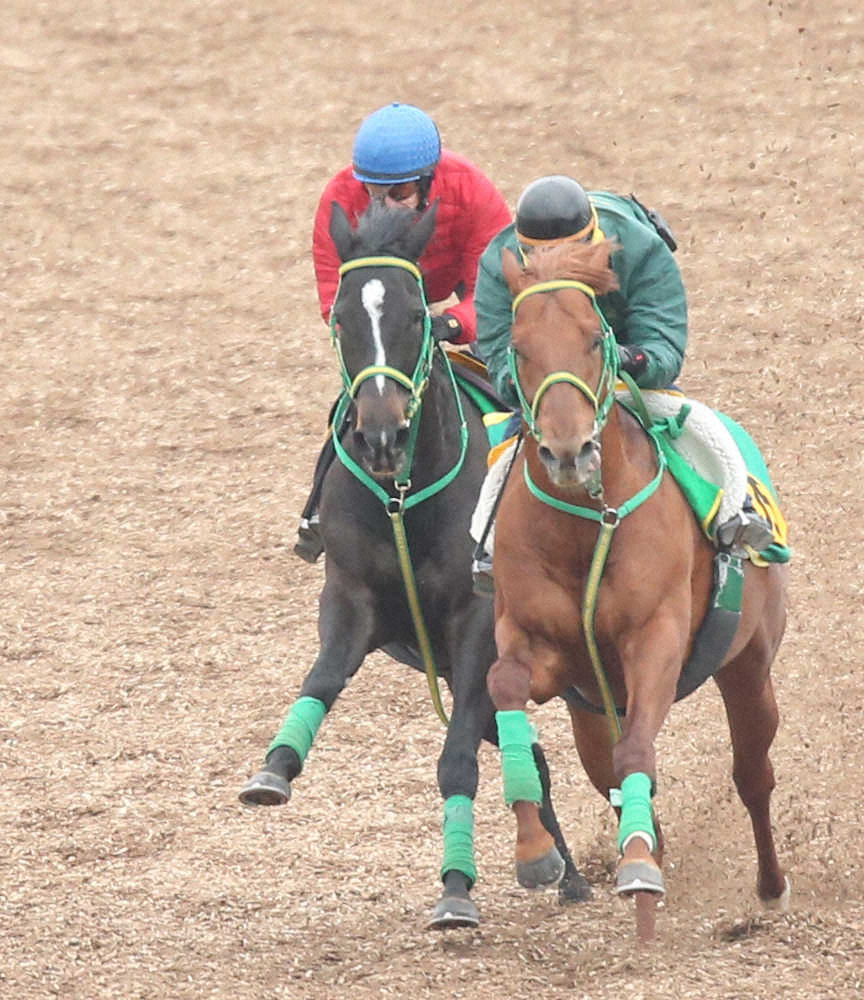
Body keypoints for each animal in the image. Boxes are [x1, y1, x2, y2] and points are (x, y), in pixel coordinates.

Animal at [240, 201, 592, 928]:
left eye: (413, 314)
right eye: (342, 318)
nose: (382, 434)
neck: (403, 495)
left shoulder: (475, 624)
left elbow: (456, 761)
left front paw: (456, 888)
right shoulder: (352, 600)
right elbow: (322, 678)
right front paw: (275, 767)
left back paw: (551, 862)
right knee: (530, 751)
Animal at [486, 238, 788, 940]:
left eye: (595, 340)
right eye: (520, 346)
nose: (569, 450)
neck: (585, 521)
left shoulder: (656, 639)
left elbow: (638, 752)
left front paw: (638, 868)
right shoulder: (538, 646)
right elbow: (504, 686)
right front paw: (536, 852)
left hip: (748, 664)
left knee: (752, 775)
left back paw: (768, 886)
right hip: (589, 708)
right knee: (608, 776)